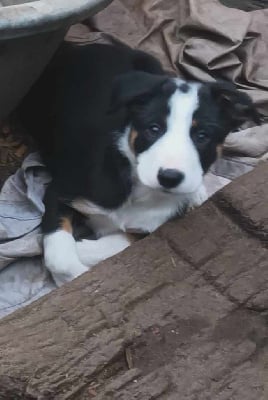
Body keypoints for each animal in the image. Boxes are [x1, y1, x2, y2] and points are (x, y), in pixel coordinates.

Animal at [17, 42, 260, 284]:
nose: (169, 177)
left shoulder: (149, 227)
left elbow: (119, 242)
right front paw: (70, 278)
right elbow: (60, 257)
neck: (139, 189)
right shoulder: (61, 192)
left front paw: (85, 252)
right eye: (154, 129)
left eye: (202, 136)